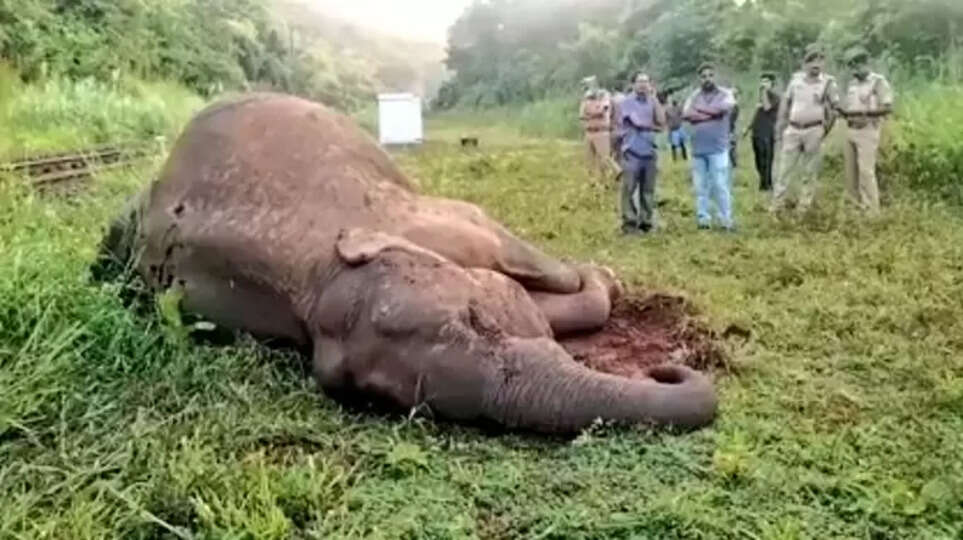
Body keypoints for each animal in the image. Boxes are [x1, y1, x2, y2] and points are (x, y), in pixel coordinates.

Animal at [95, 92, 717, 435]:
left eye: (475, 320)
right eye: (381, 398)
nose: (664, 371)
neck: (313, 274)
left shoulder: (426, 217)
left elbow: (521, 257)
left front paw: (602, 277)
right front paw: (600, 281)